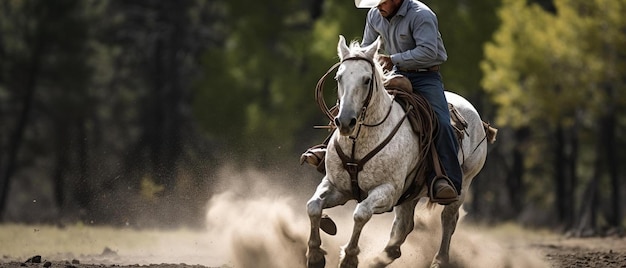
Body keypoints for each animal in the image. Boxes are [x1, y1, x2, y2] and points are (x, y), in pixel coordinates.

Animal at [304, 35, 494, 268]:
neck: (360, 143)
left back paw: (438, 260)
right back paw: (380, 258)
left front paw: (349, 257)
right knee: (404, 226)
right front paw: (314, 255)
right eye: (339, 77)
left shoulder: (388, 191)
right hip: (411, 192)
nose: (346, 121)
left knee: (448, 219)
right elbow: (313, 206)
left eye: (367, 80)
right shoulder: (337, 186)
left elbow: (361, 214)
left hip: (463, 184)